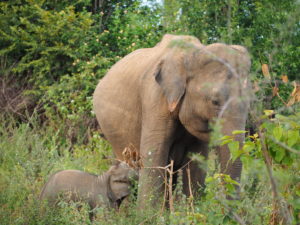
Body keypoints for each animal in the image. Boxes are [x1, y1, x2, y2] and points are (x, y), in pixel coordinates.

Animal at [93, 34, 251, 208]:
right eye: (214, 102)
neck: (192, 54)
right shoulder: (155, 98)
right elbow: (154, 156)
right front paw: (148, 213)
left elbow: (196, 164)